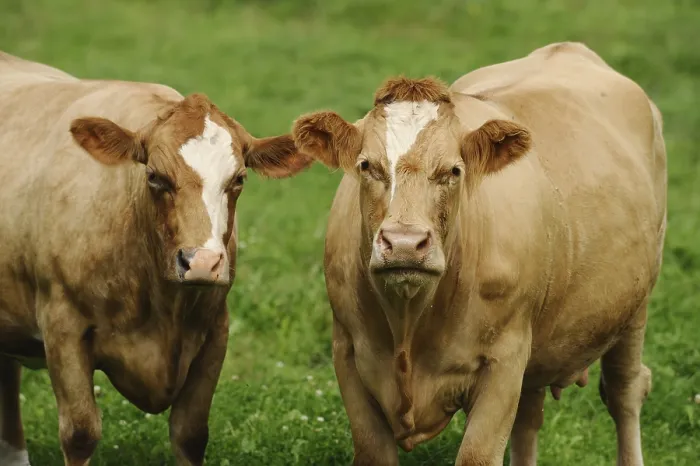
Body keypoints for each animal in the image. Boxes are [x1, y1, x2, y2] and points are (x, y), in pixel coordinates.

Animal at [0, 51, 311, 466]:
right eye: (154, 176)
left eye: (239, 179)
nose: (201, 262)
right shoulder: (62, 326)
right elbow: (80, 433)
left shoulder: (215, 331)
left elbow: (190, 434)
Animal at [291, 42, 667, 466]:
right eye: (366, 165)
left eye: (454, 171)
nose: (404, 242)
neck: (409, 324)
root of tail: (570, 48)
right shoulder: (348, 355)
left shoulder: (504, 362)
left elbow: (478, 454)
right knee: (530, 414)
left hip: (635, 306)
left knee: (624, 391)